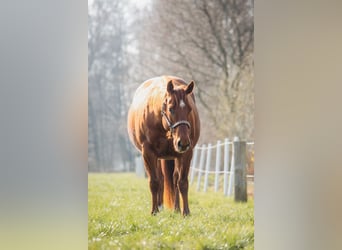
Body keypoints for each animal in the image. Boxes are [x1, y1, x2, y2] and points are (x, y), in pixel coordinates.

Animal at [127, 75, 199, 216]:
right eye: (171, 109)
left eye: (189, 109)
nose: (183, 142)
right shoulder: (148, 153)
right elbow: (154, 182)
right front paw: (154, 211)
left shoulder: (186, 153)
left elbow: (182, 182)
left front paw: (186, 212)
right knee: (160, 179)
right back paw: (159, 207)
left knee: (174, 179)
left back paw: (176, 208)